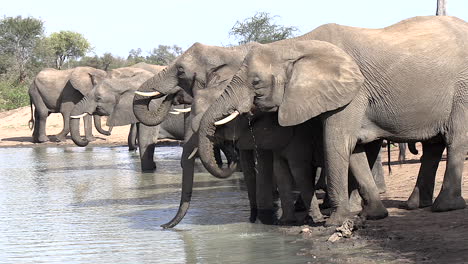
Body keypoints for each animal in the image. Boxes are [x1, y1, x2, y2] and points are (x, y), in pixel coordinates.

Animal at [198, 15, 468, 226]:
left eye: (256, 82)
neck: (296, 45)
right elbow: (353, 147)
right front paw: (372, 215)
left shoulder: (352, 92)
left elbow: (337, 141)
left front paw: (335, 222)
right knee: (434, 145)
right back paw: (415, 205)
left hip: (462, 88)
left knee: (455, 138)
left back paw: (445, 207)